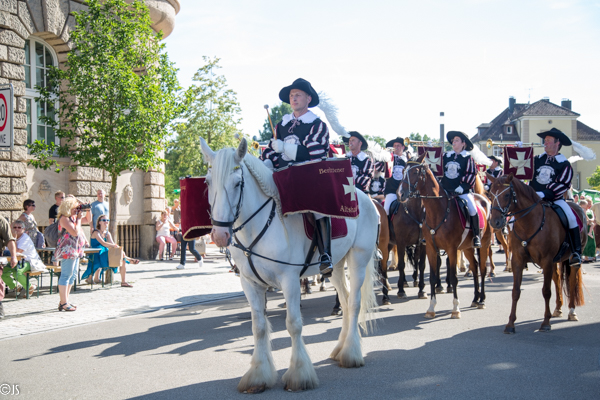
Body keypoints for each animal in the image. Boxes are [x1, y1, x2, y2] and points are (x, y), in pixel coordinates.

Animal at [202, 138, 380, 394]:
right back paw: (340, 348)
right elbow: (259, 327)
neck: (259, 226)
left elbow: (293, 324)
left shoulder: (289, 279)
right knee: (345, 302)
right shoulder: (250, 283)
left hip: (359, 258)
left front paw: (299, 374)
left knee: (354, 303)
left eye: (237, 183)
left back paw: (351, 354)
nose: (219, 235)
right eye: (207, 182)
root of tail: (365, 197)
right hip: (336, 266)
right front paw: (257, 376)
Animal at [398, 158, 492, 318]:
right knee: (474, 267)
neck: (438, 211)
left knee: (483, 269)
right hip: (467, 247)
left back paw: (482, 300)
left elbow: (453, 277)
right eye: (403, 171)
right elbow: (432, 277)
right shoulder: (430, 248)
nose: (401, 194)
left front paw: (455, 308)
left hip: (483, 245)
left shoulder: (452, 249)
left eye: (415, 172)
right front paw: (431, 308)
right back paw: (475, 298)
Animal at [488, 173, 584, 332]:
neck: (529, 223)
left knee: (571, 280)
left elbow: (546, 291)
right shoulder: (518, 261)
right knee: (557, 278)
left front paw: (545, 322)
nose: (494, 222)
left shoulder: (546, 260)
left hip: (572, 260)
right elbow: (515, 291)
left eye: (507, 194)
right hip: (555, 261)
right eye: (490, 195)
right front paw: (510, 324)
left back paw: (571, 311)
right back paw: (557, 309)